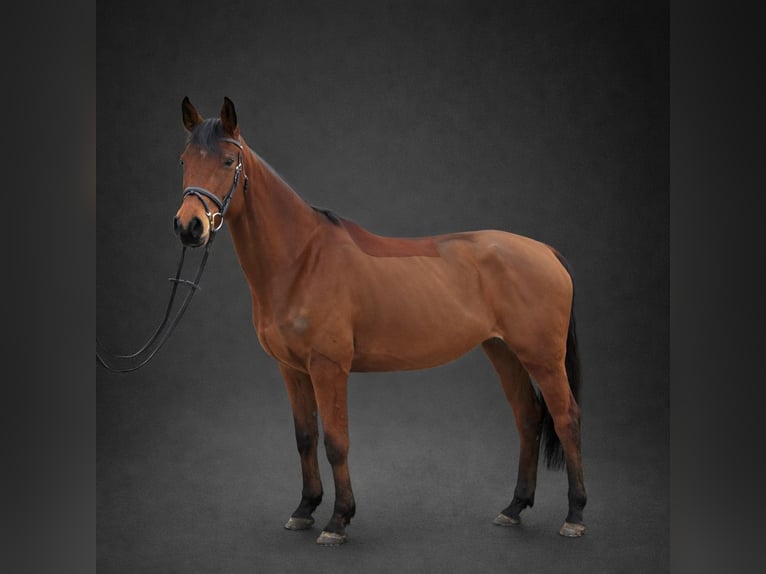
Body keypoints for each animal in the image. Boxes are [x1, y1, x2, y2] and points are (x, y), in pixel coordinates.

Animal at [173, 96, 587, 545]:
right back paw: (513, 508)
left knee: (566, 419)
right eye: (184, 161)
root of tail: (545, 251)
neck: (302, 259)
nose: (189, 226)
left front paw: (338, 521)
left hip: (543, 358)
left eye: (229, 160)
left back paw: (575, 515)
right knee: (528, 417)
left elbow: (336, 442)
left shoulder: (329, 368)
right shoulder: (292, 369)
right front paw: (304, 510)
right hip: (503, 352)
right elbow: (305, 438)